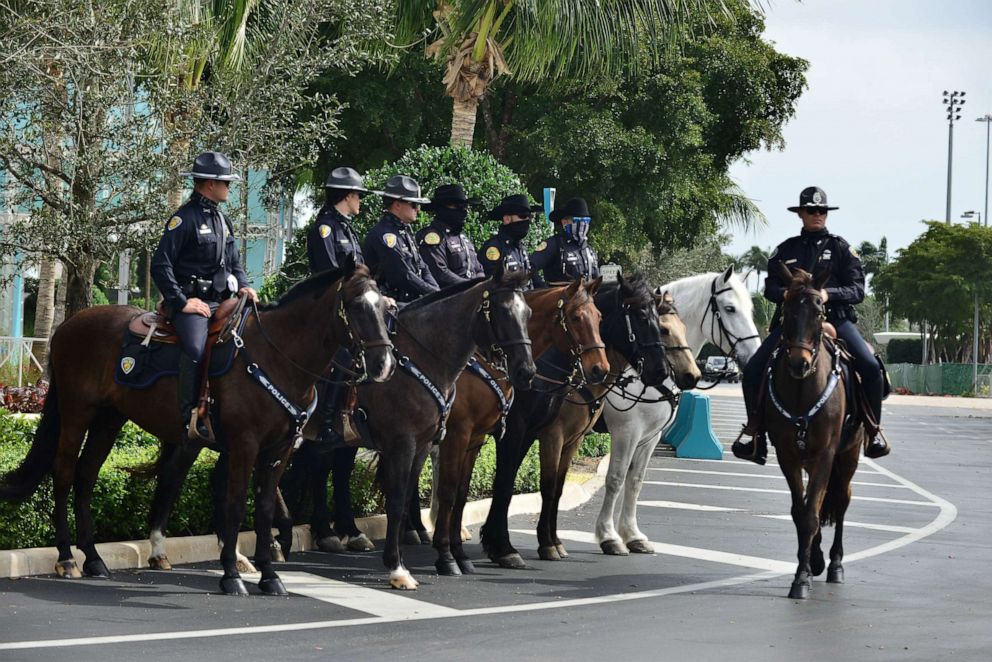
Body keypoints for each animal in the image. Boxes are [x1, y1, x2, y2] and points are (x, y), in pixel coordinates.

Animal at [0, 258, 396, 596]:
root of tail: (68, 325)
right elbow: (235, 504)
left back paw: (94, 558)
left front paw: (270, 576)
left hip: (109, 420)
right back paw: (67, 557)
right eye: (357, 305)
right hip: (77, 413)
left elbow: (265, 507)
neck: (277, 357)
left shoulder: (278, 450)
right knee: (65, 473)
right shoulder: (244, 445)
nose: (383, 364)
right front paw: (232, 575)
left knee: (86, 476)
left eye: (385, 308)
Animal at [430, 278, 608, 580]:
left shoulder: (525, 434)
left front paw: (495, 542)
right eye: (575, 317)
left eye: (599, 317)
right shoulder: (515, 433)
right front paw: (504, 548)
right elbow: (504, 484)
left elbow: (511, 483)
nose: (600, 368)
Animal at [482, 274, 676, 572]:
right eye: (642, 317)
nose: (661, 371)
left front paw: (544, 541)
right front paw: (515, 546)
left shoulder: (568, 438)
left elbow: (554, 487)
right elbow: (524, 484)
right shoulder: (537, 434)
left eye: (599, 318)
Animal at [592, 266, 764, 556]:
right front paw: (609, 536)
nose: (754, 354)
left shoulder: (649, 437)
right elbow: (616, 478)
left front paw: (633, 535)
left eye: (751, 309)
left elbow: (635, 480)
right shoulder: (626, 432)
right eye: (730, 308)